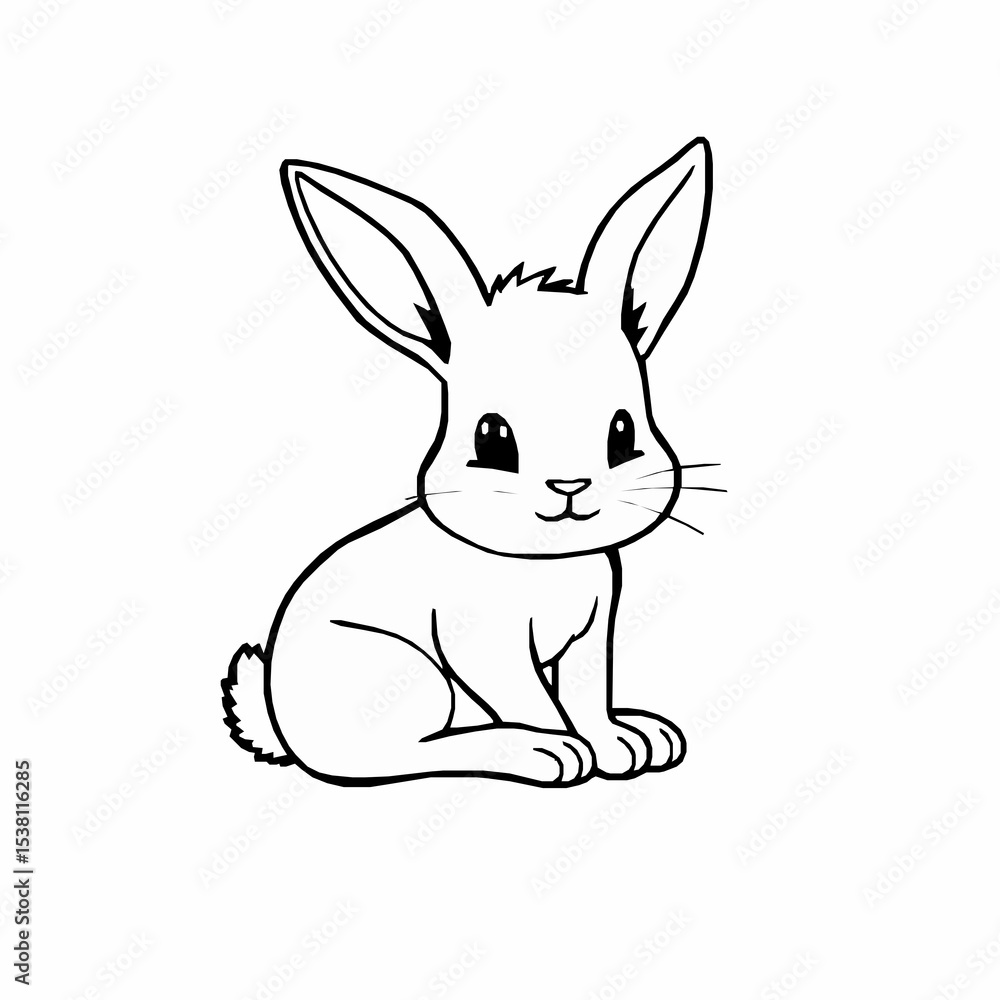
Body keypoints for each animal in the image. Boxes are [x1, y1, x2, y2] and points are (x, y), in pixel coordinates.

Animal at [222, 137, 713, 787]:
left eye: (623, 431)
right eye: (492, 438)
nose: (571, 487)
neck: (541, 560)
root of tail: (282, 724)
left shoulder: (589, 635)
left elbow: (587, 693)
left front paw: (624, 745)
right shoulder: (483, 647)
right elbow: (534, 701)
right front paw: (574, 752)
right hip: (406, 674)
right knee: (397, 755)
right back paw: (531, 753)